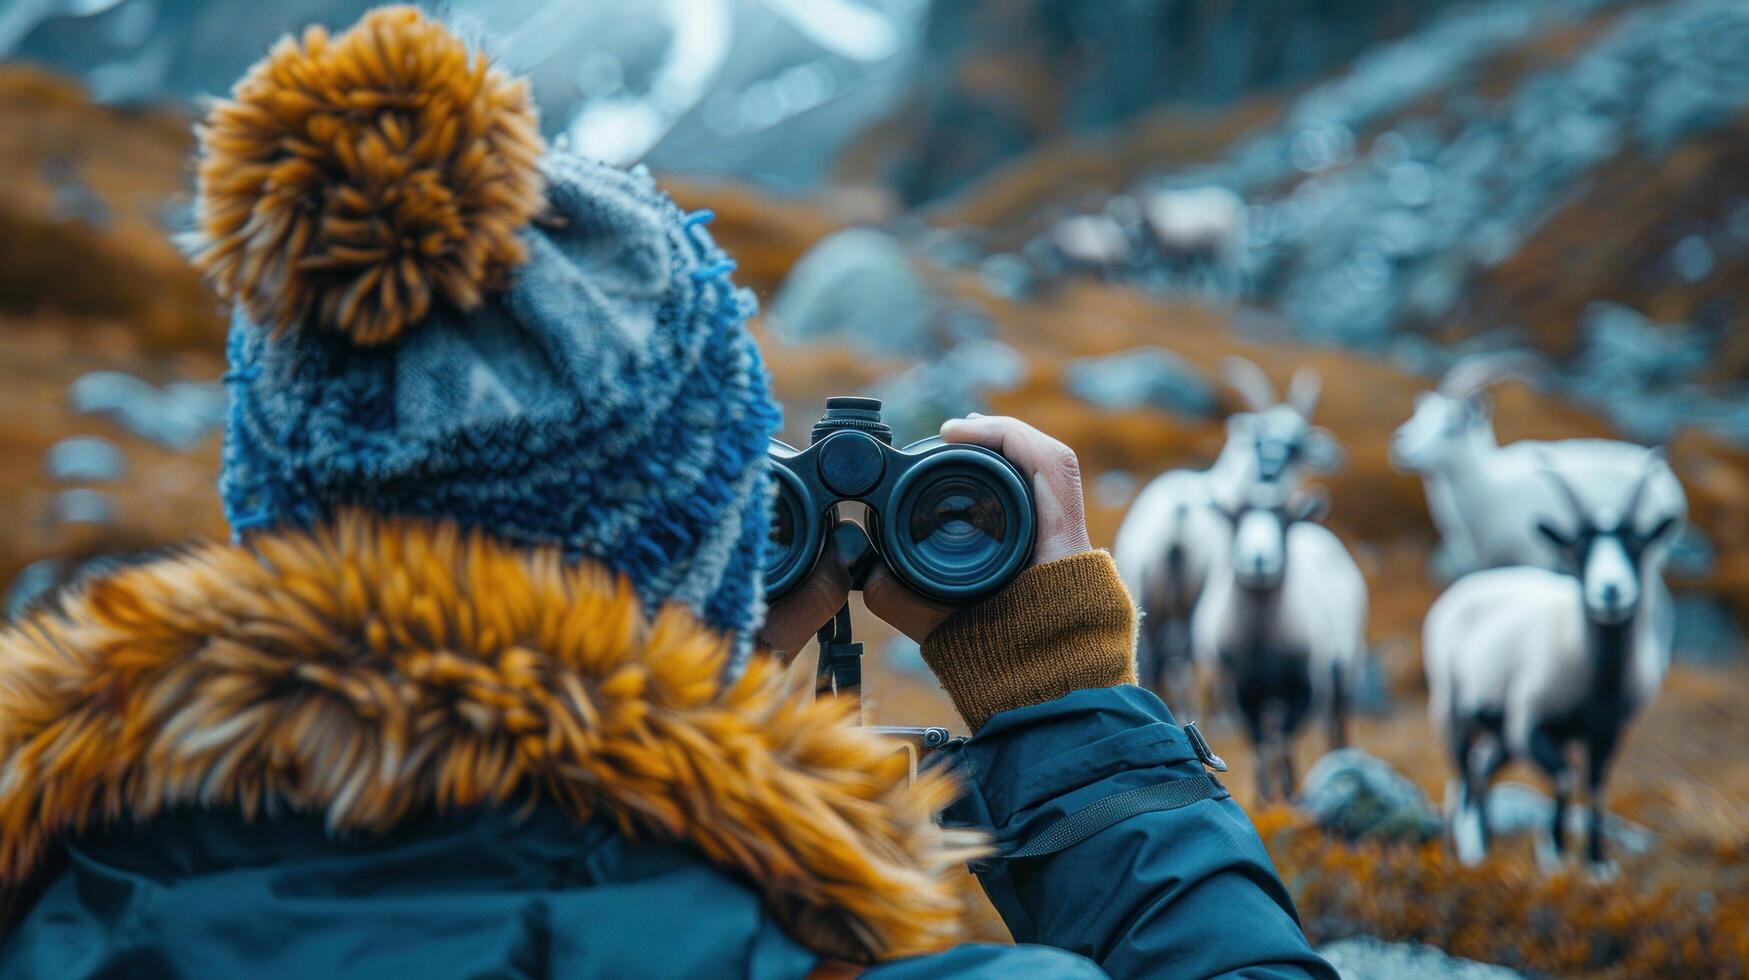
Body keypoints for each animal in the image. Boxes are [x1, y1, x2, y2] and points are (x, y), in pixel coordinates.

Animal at [1196, 479, 1371, 801]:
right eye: (1236, 517)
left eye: (1283, 518)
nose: (1258, 560)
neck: (1263, 640)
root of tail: (1313, 529)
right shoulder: (1241, 690)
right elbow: (1260, 743)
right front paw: (1264, 796)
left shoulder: (1304, 687)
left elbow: (1286, 741)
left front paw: (1290, 793)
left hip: (1345, 665)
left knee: (1337, 721)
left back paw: (1341, 760)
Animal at [1385, 353, 1686, 574]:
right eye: (1421, 416)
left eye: (1451, 426)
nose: (1401, 450)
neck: (1489, 486)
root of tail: (1669, 482)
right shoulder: (1484, 565)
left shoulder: (1534, 556)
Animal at [1420, 455, 1679, 875]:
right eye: (1579, 547)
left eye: (1635, 545)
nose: (1611, 591)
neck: (1599, 676)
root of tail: (1471, 583)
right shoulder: (1531, 724)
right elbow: (1563, 778)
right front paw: (1555, 852)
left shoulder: (1608, 732)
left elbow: (1596, 788)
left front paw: (1596, 863)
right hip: (1453, 710)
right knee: (1463, 778)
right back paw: (1473, 851)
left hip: (1502, 733)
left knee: (1480, 769)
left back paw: (1487, 844)